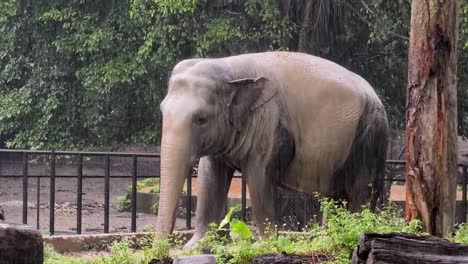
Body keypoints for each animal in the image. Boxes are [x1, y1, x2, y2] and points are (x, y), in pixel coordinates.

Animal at [155, 51, 390, 248]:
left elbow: (258, 178)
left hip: (369, 139)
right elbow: (209, 176)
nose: (162, 250)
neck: (228, 67)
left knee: (360, 192)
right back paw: (327, 241)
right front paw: (195, 247)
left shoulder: (269, 123)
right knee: (336, 196)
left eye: (201, 119)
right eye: (162, 110)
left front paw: (264, 246)